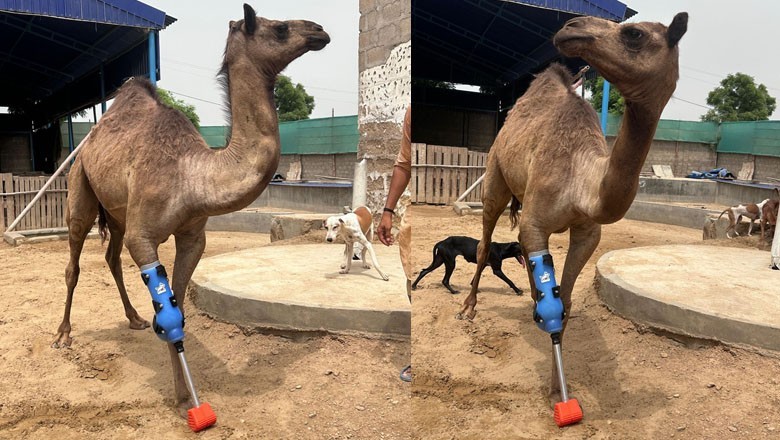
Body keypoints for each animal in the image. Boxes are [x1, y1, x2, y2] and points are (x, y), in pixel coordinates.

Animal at [52, 4, 329, 415]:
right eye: (280, 28)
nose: (319, 30)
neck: (192, 176)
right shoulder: (144, 236)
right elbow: (167, 311)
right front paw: (185, 398)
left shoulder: (193, 236)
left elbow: (177, 307)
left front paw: (184, 393)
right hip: (80, 185)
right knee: (74, 261)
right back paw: (63, 335)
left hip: (117, 213)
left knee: (111, 256)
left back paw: (134, 318)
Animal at [458, 12, 688, 405]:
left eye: (633, 34)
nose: (571, 27)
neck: (582, 185)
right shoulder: (535, 221)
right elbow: (549, 293)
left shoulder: (587, 234)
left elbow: (562, 302)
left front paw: (557, 385)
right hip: (495, 176)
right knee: (485, 242)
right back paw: (469, 307)